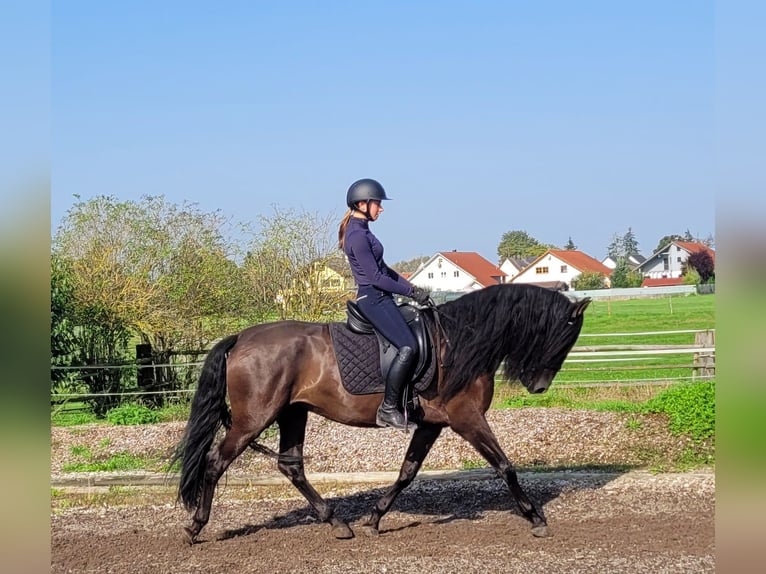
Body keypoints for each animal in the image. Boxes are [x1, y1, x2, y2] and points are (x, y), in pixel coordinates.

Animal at [174, 284, 592, 544]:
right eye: (564, 337)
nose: (539, 386)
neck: (459, 343)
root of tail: (240, 338)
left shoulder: (432, 424)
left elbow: (408, 472)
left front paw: (375, 518)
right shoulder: (466, 417)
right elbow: (505, 466)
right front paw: (536, 518)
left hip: (292, 413)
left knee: (291, 466)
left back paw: (338, 522)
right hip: (254, 419)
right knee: (215, 462)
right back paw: (195, 527)